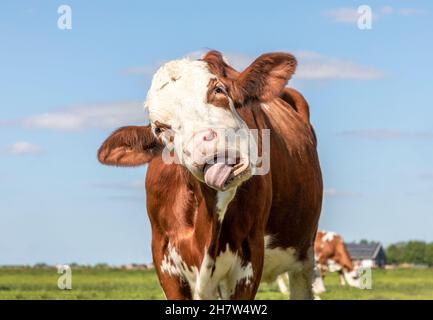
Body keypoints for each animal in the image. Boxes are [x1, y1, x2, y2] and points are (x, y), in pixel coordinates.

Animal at [97, 50, 320, 300]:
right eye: (159, 128)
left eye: (218, 90)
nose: (204, 149)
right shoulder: (163, 253)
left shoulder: (250, 254)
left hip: (304, 255)